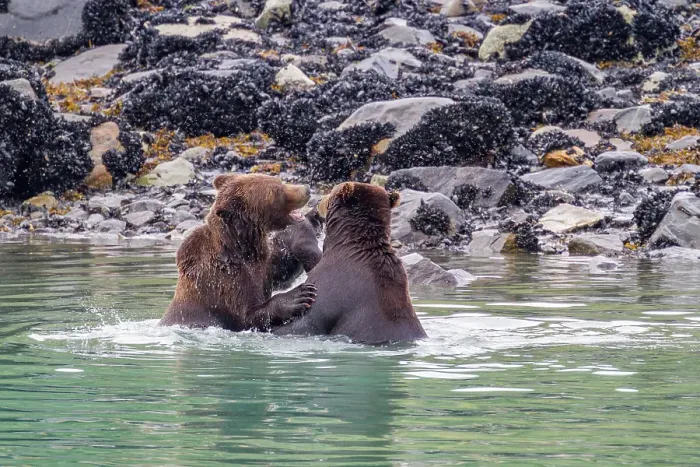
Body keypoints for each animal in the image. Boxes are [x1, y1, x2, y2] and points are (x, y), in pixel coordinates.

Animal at [160, 173, 317, 331]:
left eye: (278, 181)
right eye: (276, 191)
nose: (307, 189)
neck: (240, 247)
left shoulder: (262, 265)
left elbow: (281, 275)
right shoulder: (223, 280)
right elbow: (247, 315)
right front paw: (299, 295)